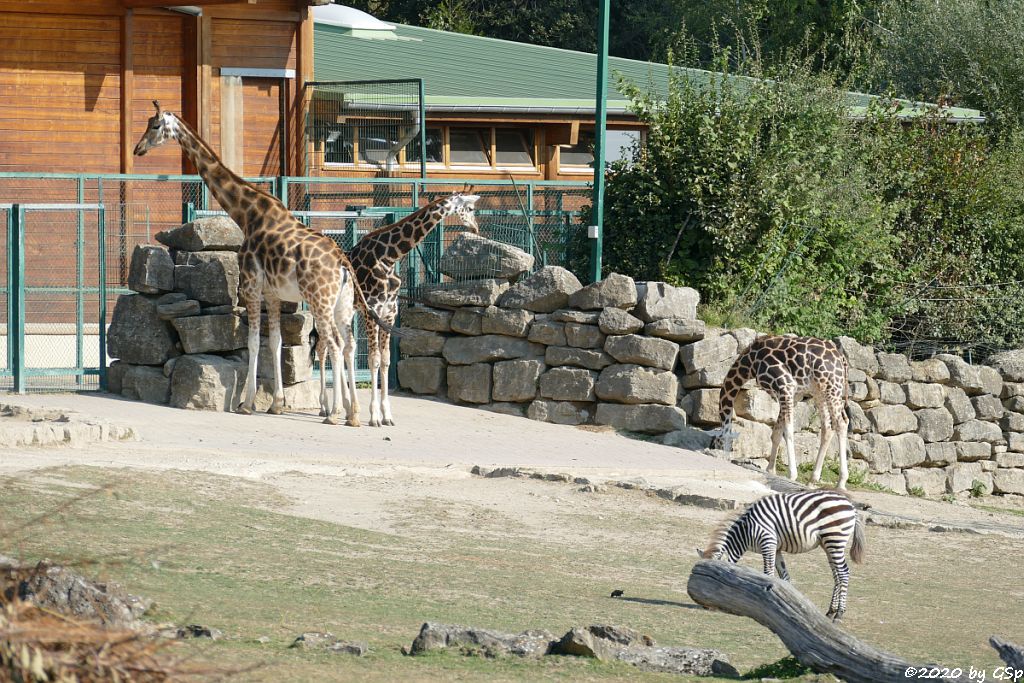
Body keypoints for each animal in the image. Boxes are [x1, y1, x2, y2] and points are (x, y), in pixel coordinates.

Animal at [136, 100, 391, 428]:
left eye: (155, 126)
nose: (138, 149)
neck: (247, 214)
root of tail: (343, 264)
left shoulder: (251, 286)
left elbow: (254, 341)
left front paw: (245, 404)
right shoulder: (273, 293)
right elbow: (276, 342)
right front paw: (277, 405)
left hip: (319, 301)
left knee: (333, 346)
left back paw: (335, 414)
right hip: (342, 305)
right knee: (349, 345)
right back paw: (353, 413)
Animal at [317, 192, 481, 423]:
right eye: (471, 209)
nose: (476, 229)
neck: (388, 258)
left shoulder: (389, 314)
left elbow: (386, 360)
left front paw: (386, 415)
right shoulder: (373, 311)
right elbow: (374, 359)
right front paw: (374, 416)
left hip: (342, 312)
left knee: (338, 347)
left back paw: (346, 408)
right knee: (323, 349)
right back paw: (326, 407)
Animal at [696, 489, 864, 622]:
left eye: (711, 578)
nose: (706, 607)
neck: (746, 531)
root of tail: (850, 504)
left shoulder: (768, 541)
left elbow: (768, 573)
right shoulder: (776, 549)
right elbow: (784, 576)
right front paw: (789, 605)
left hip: (834, 539)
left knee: (844, 573)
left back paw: (839, 614)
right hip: (828, 544)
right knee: (836, 575)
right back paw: (830, 612)